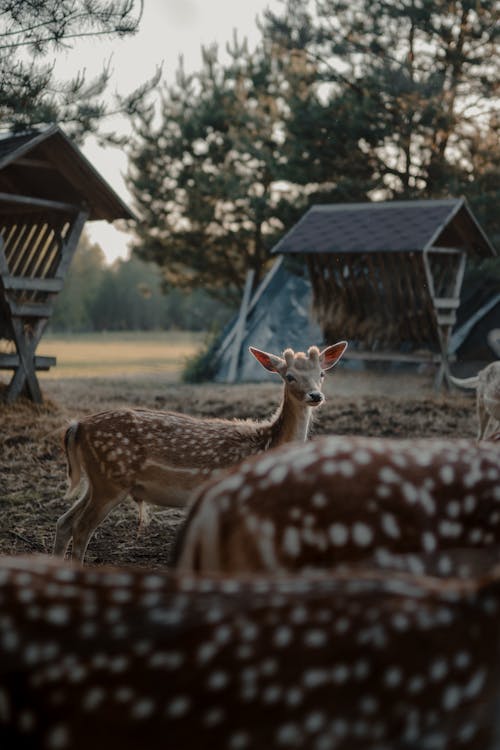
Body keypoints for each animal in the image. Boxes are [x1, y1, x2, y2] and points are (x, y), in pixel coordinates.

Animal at [52, 344, 346, 560]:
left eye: (321, 374)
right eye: (290, 376)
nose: (315, 396)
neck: (266, 444)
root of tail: (77, 426)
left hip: (97, 481)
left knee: (64, 521)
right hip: (111, 481)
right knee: (81, 529)